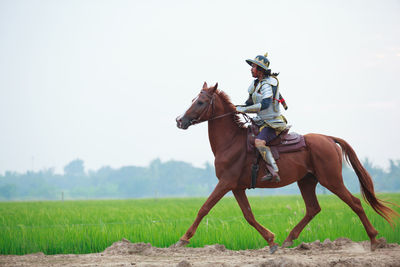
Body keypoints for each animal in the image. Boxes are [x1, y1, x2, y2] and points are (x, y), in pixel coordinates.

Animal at [174, 82, 396, 254]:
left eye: (200, 102)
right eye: (193, 99)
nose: (180, 121)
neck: (231, 141)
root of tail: (328, 139)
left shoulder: (226, 182)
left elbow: (204, 208)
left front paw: (183, 239)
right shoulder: (237, 187)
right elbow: (249, 215)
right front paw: (271, 240)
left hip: (331, 180)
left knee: (355, 203)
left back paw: (374, 240)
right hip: (307, 181)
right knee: (313, 208)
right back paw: (289, 239)